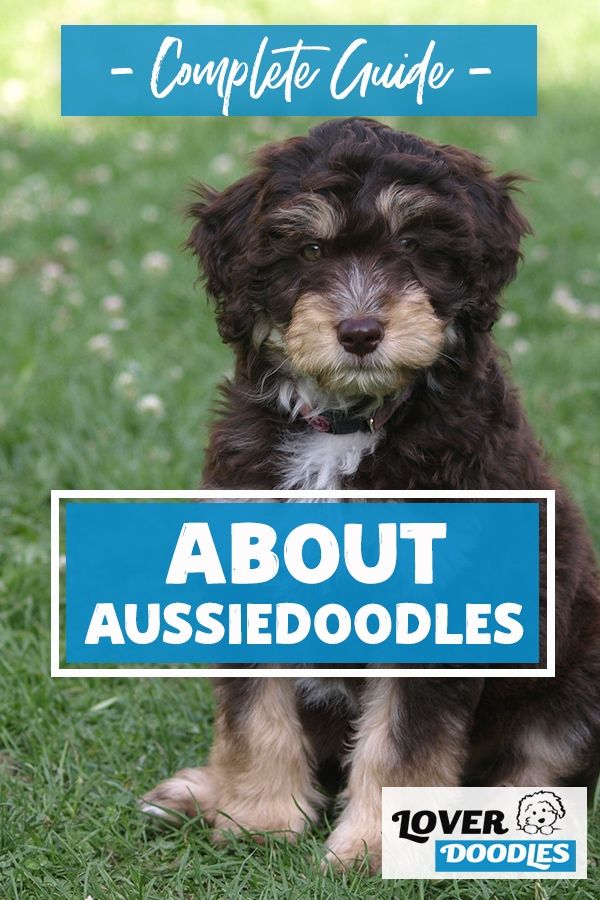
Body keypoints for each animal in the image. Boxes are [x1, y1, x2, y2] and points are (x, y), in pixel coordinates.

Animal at [143, 118, 600, 872]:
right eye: (308, 250)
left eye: (412, 245)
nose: (360, 333)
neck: (352, 422)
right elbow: (253, 715)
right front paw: (258, 819)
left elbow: (403, 740)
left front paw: (376, 849)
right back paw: (199, 790)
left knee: (543, 760)